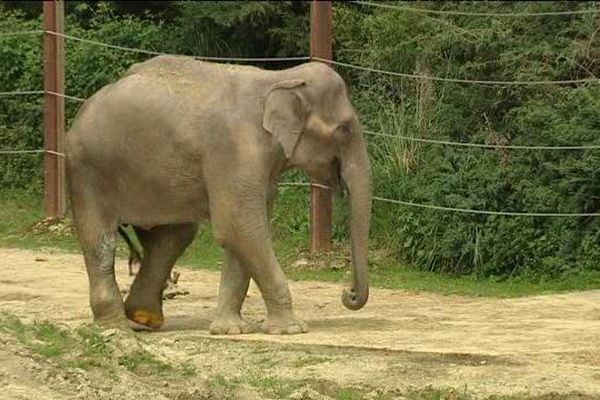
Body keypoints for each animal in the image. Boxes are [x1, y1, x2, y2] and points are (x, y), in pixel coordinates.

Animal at [67, 54, 370, 334]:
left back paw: (144, 319)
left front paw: (230, 330)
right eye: (344, 130)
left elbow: (241, 234)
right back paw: (116, 326)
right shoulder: (234, 150)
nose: (347, 293)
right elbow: (240, 228)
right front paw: (292, 329)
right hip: (87, 171)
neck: (279, 77)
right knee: (100, 239)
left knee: (172, 237)